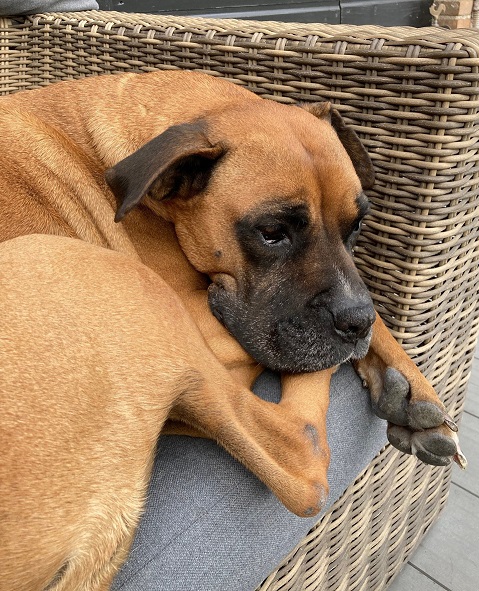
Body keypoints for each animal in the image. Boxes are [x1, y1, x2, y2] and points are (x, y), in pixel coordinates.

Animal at [0, 71, 466, 590]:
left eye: (357, 226)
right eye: (271, 233)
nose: (353, 321)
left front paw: (415, 390)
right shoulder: (206, 323)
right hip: (113, 277)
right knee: (301, 454)